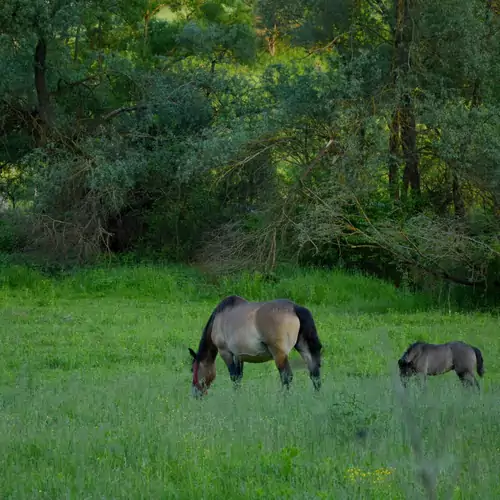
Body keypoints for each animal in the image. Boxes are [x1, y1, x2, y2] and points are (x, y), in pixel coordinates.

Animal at [188, 294, 324, 396]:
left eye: (192, 369)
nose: (195, 394)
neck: (220, 317)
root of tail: (294, 308)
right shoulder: (239, 356)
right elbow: (238, 378)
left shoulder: (226, 352)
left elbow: (234, 377)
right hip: (304, 349)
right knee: (314, 373)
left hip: (279, 354)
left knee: (286, 376)